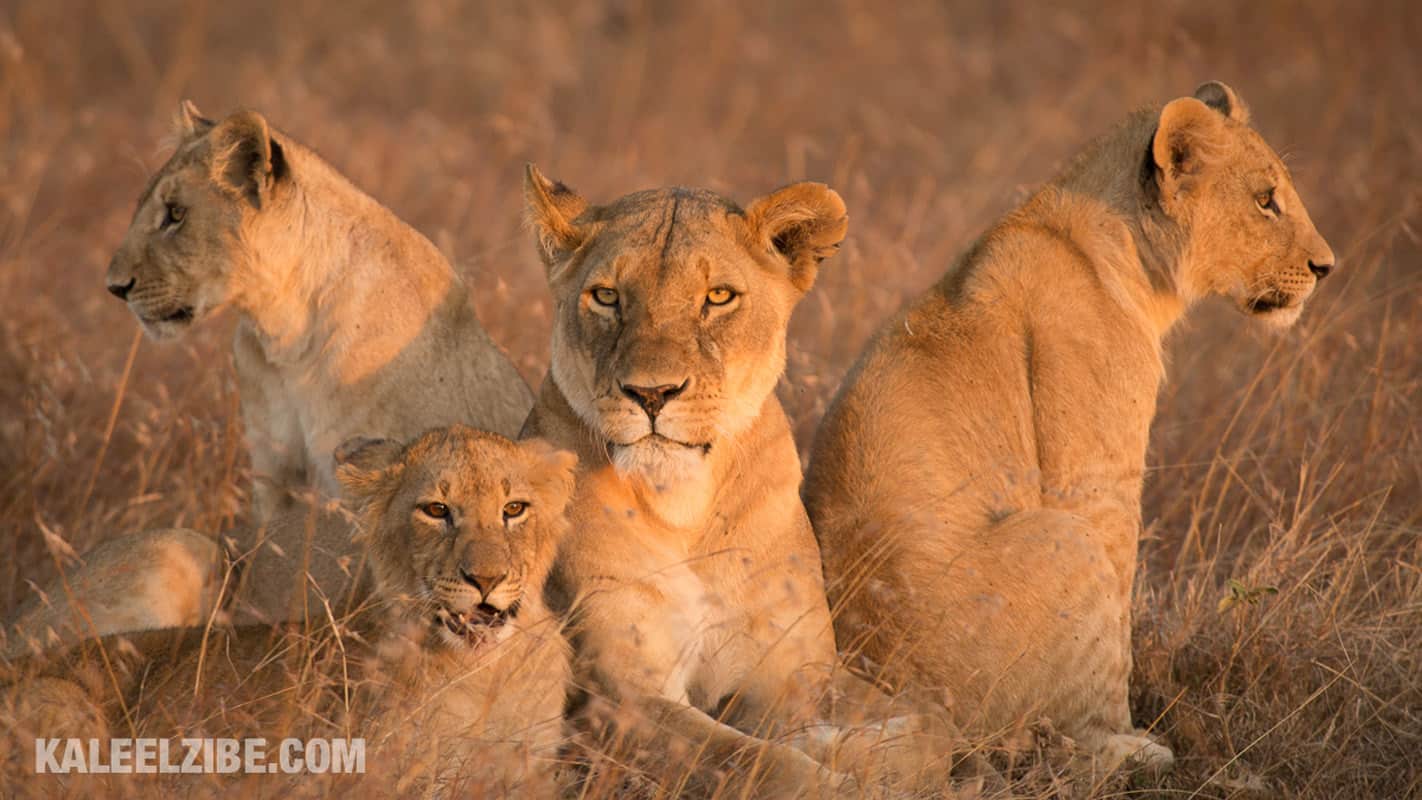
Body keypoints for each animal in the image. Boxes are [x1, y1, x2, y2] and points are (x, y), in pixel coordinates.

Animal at [807, 79, 1336, 767]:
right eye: (1266, 200)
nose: (1328, 267)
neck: (1131, 261)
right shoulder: (1093, 484)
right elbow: (1116, 620)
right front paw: (1128, 735)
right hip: (1062, 540)